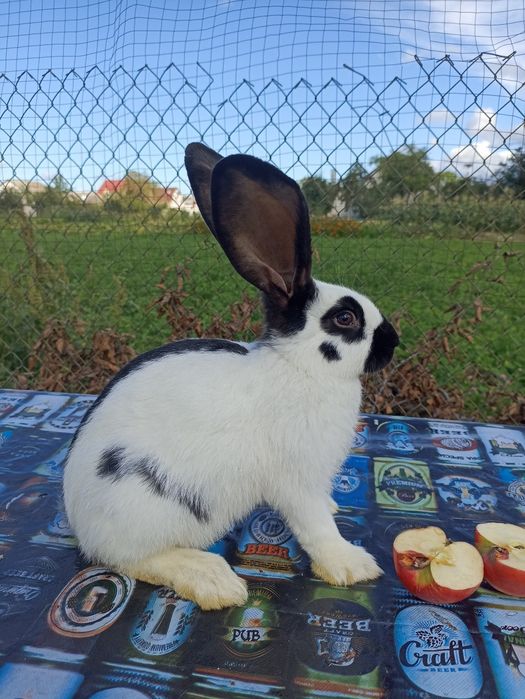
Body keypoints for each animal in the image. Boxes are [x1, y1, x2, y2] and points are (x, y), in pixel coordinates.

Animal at [63, 143, 399, 610]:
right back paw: (212, 580)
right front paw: (350, 565)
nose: (394, 342)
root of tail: (79, 522)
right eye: (346, 318)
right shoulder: (296, 480)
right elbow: (316, 527)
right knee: (129, 558)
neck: (298, 366)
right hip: (144, 506)